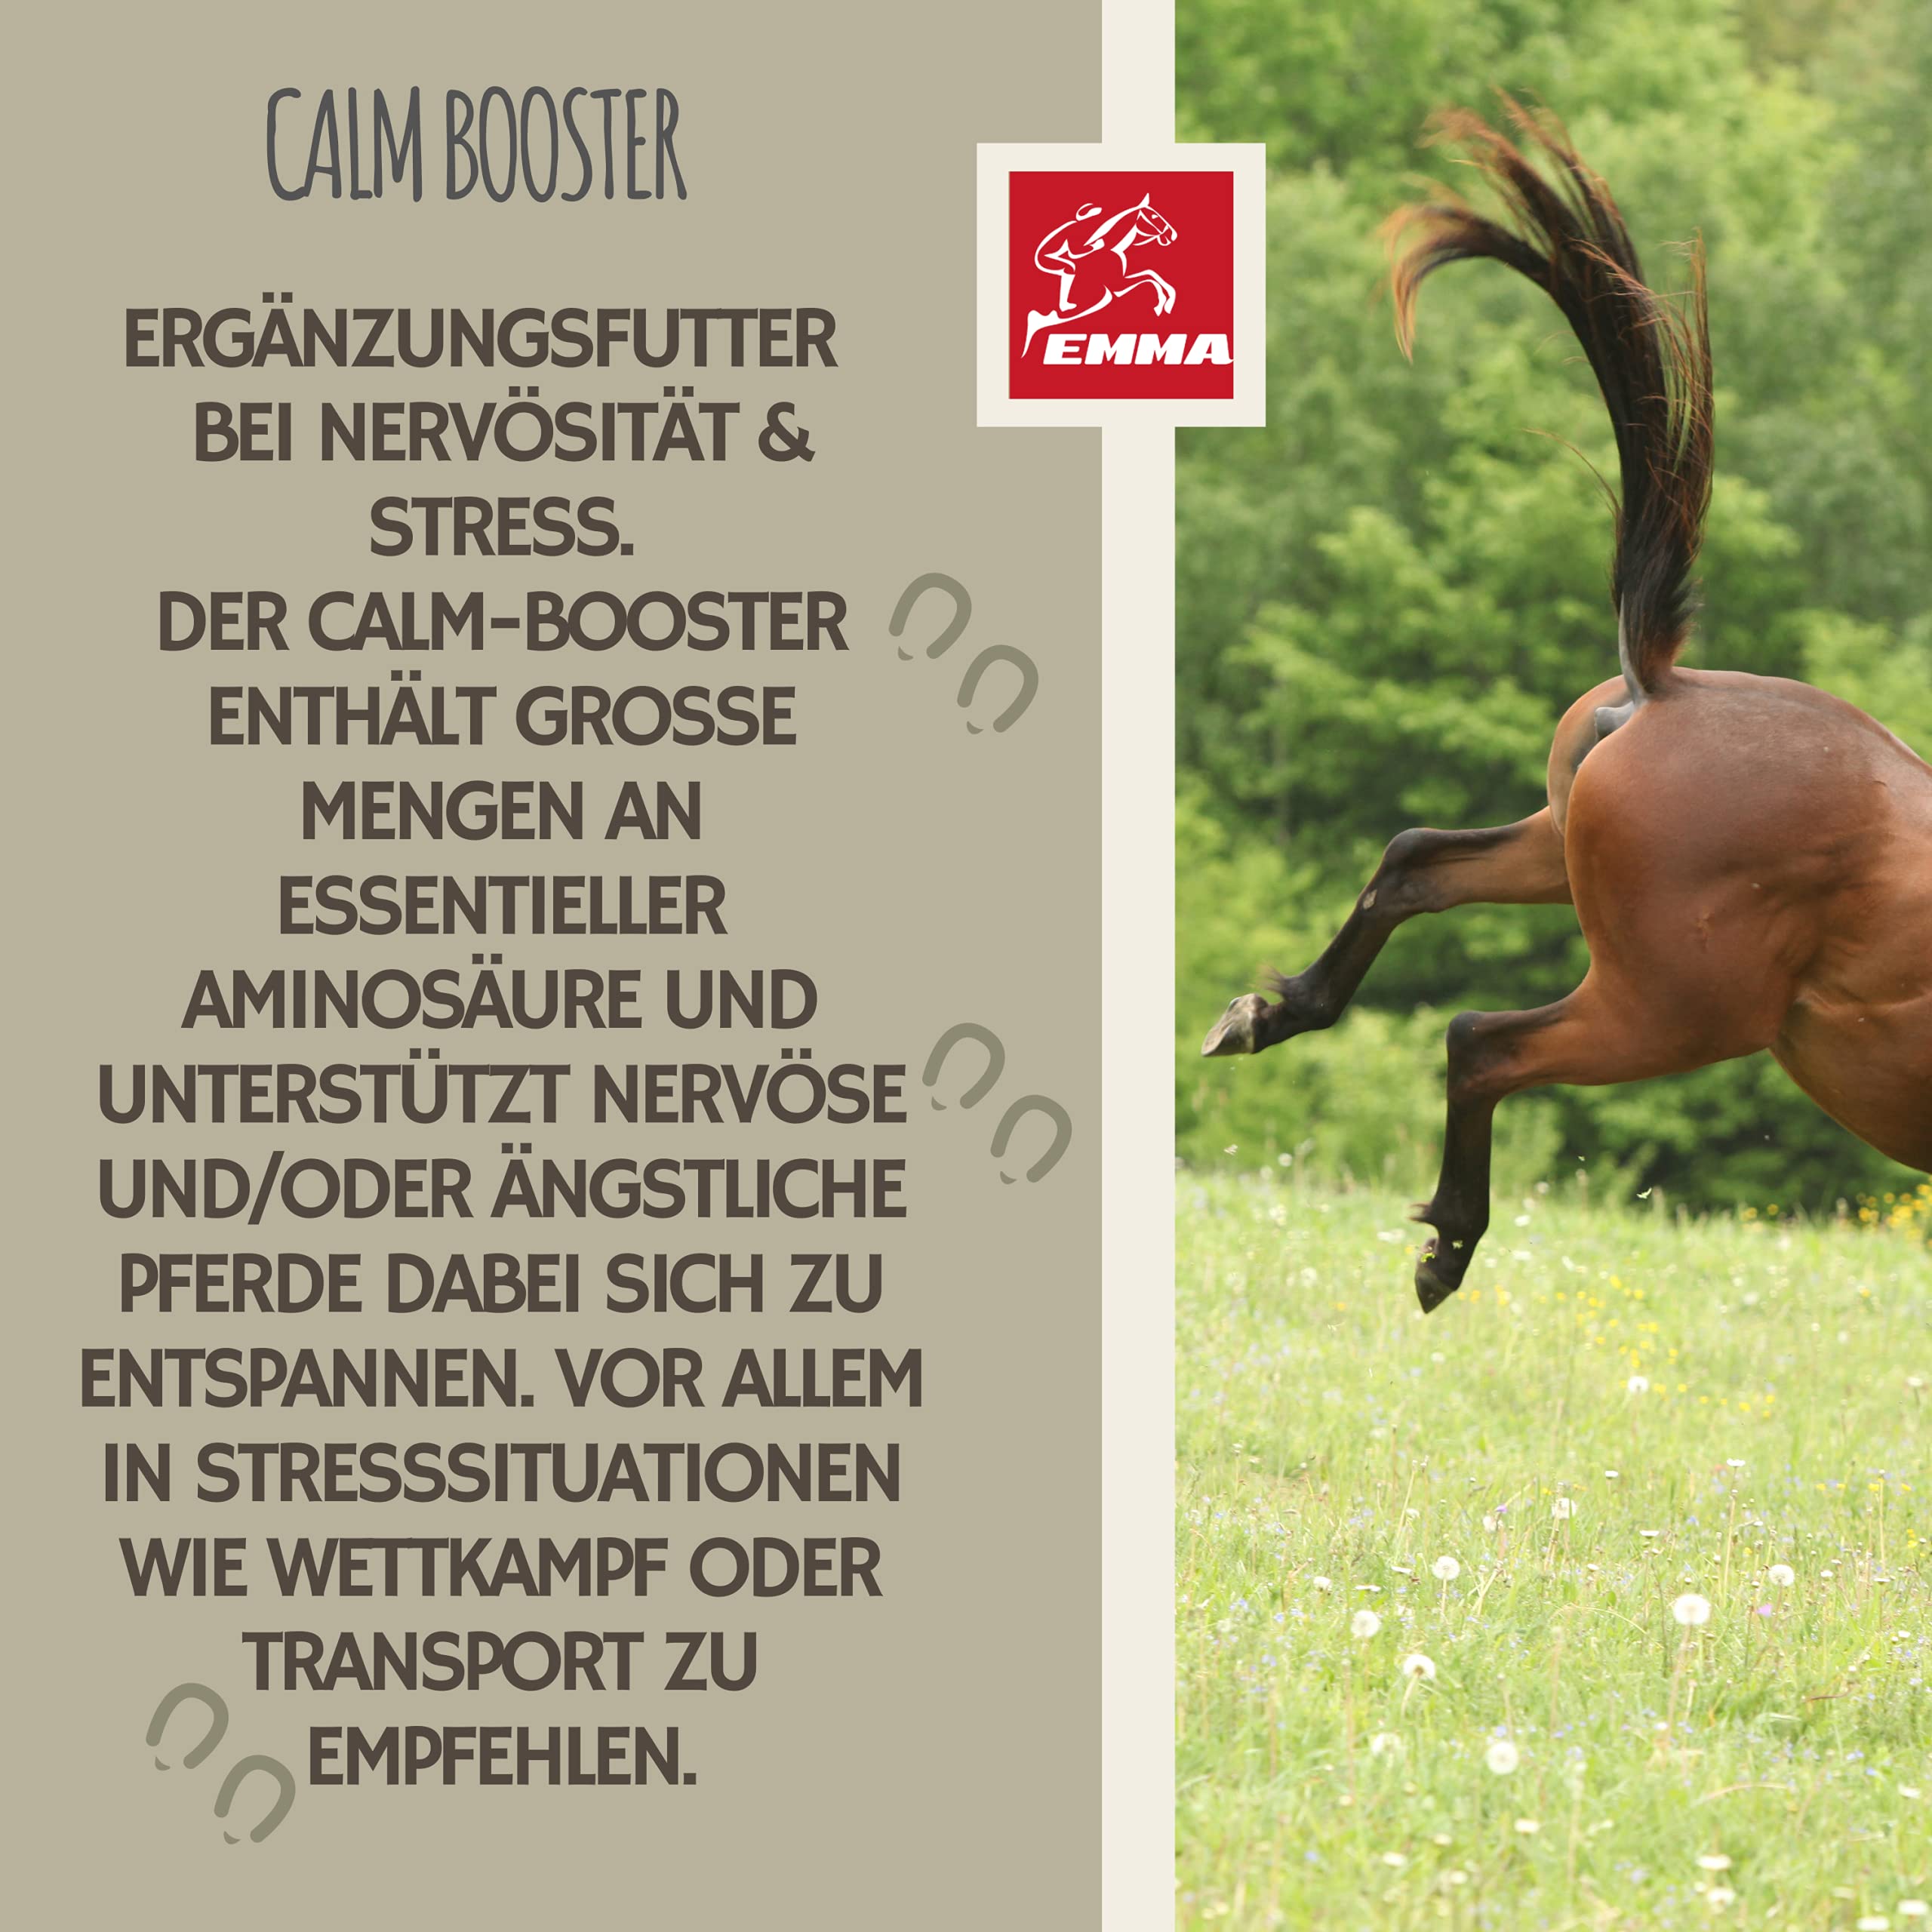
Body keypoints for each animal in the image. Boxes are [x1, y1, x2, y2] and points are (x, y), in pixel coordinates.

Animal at [1023, 195, 1178, 354]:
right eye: (1154, 216)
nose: (1173, 235)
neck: (1112, 248)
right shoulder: (1118, 285)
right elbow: (1149, 277)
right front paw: (1162, 305)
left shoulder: (1120, 282)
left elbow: (1151, 274)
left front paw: (1167, 303)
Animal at [1199, 100, 1932, 1313]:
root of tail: (1662, 684)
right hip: (1665, 1012)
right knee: (1479, 1039)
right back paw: (1447, 1244)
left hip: (1558, 858)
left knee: (1415, 861)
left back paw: (1275, 1010)